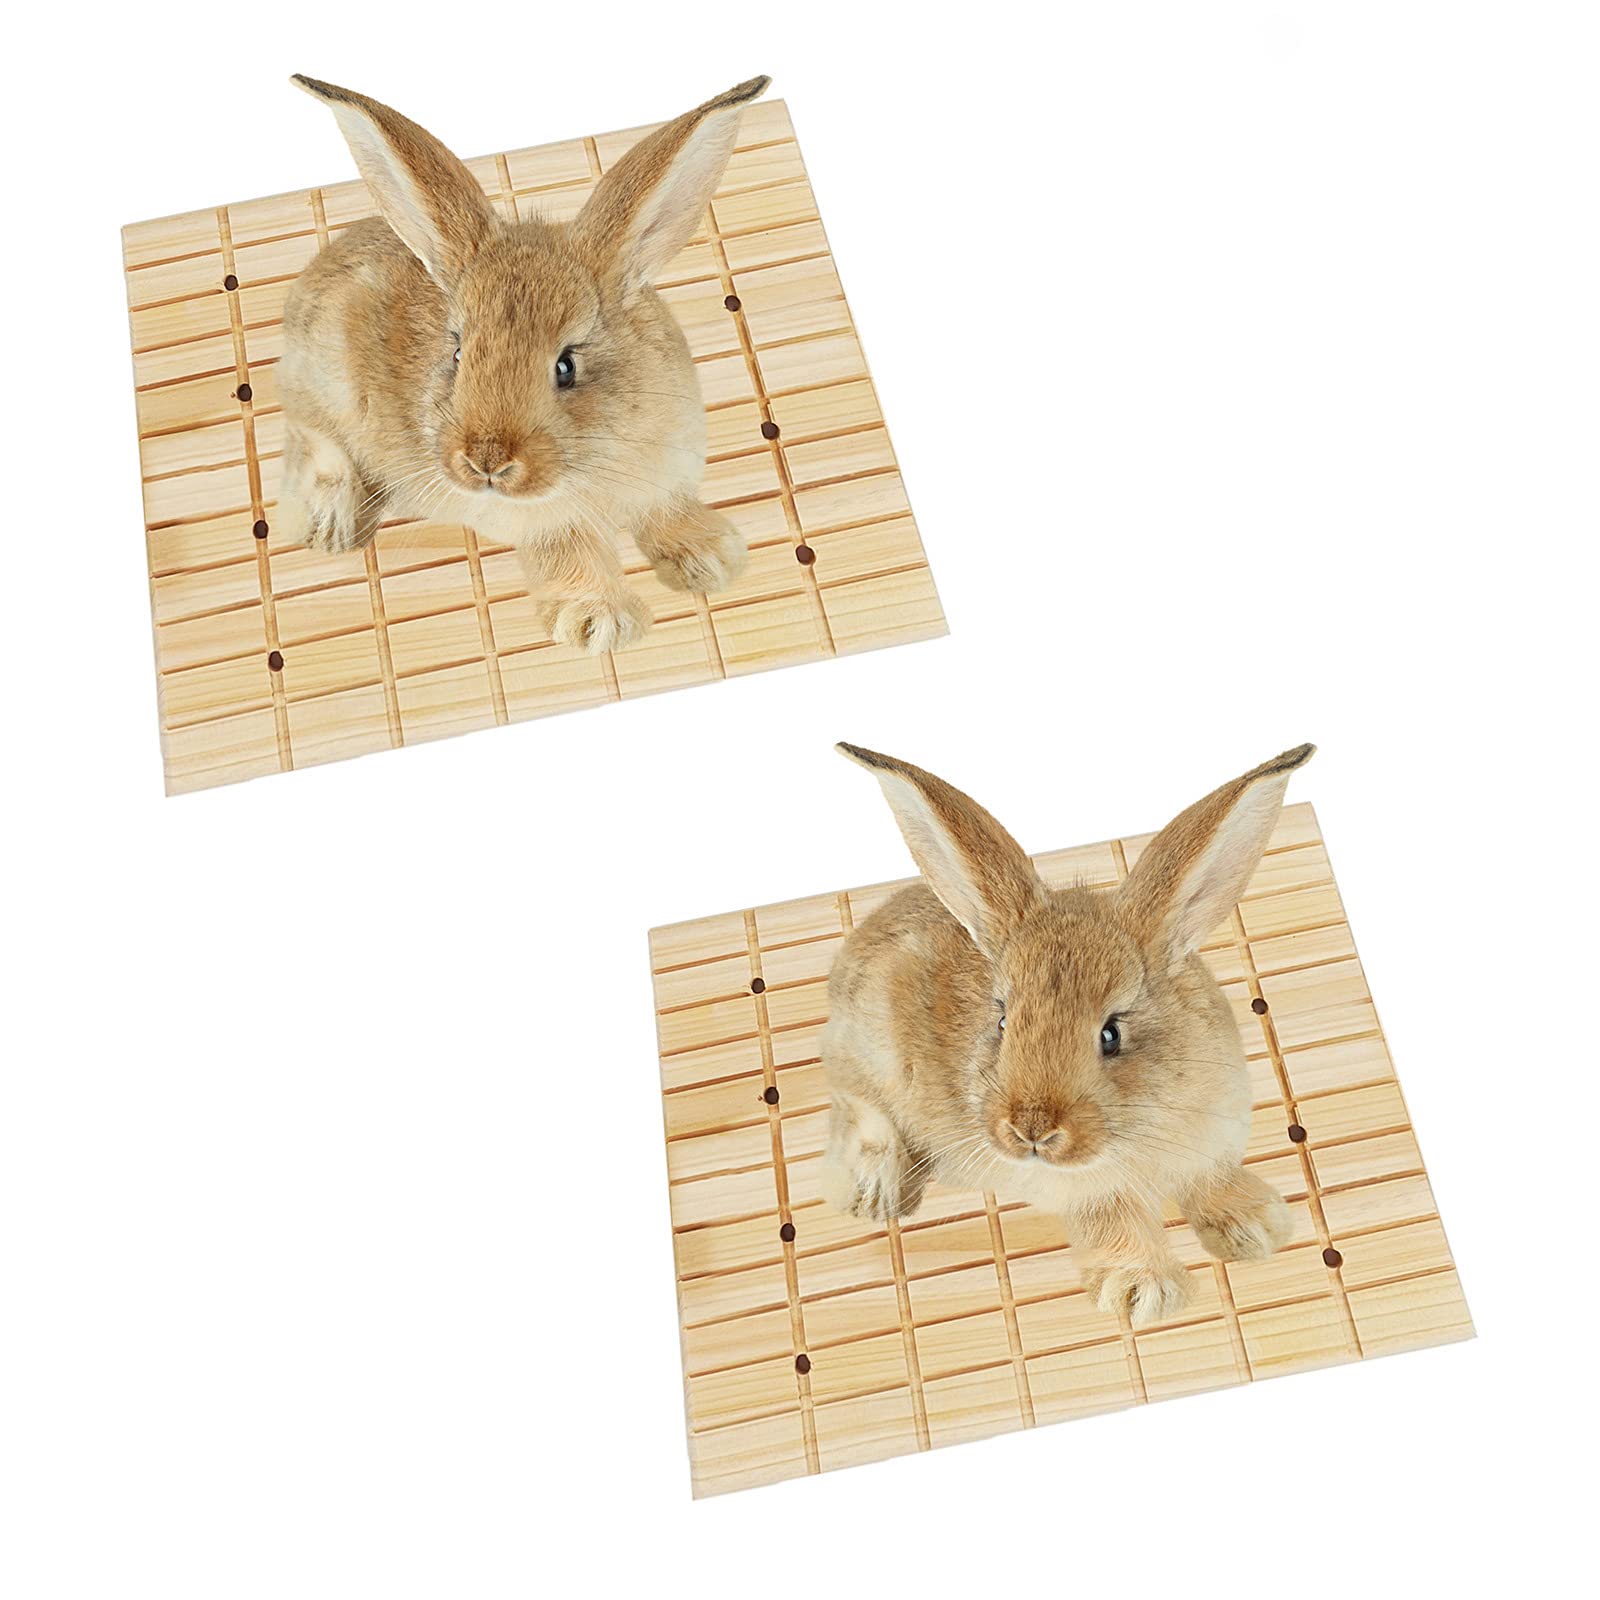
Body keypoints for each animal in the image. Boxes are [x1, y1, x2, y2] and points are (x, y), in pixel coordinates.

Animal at [276, 73, 769, 655]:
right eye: (458, 352)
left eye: (566, 366)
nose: (486, 461)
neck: (599, 458)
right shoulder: (550, 525)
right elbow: (572, 556)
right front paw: (600, 625)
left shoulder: (663, 483)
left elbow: (668, 516)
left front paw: (713, 558)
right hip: (324, 382)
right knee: (312, 438)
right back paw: (329, 525)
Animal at [820, 741, 1315, 1328]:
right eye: (1003, 1021)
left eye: (1111, 1034)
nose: (1030, 1129)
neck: (1143, 1128)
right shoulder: (1095, 1195)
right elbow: (1116, 1224)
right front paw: (1145, 1294)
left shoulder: (1207, 1152)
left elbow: (1212, 1184)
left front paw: (1258, 1227)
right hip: (870, 1053)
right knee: (860, 1110)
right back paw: (874, 1193)